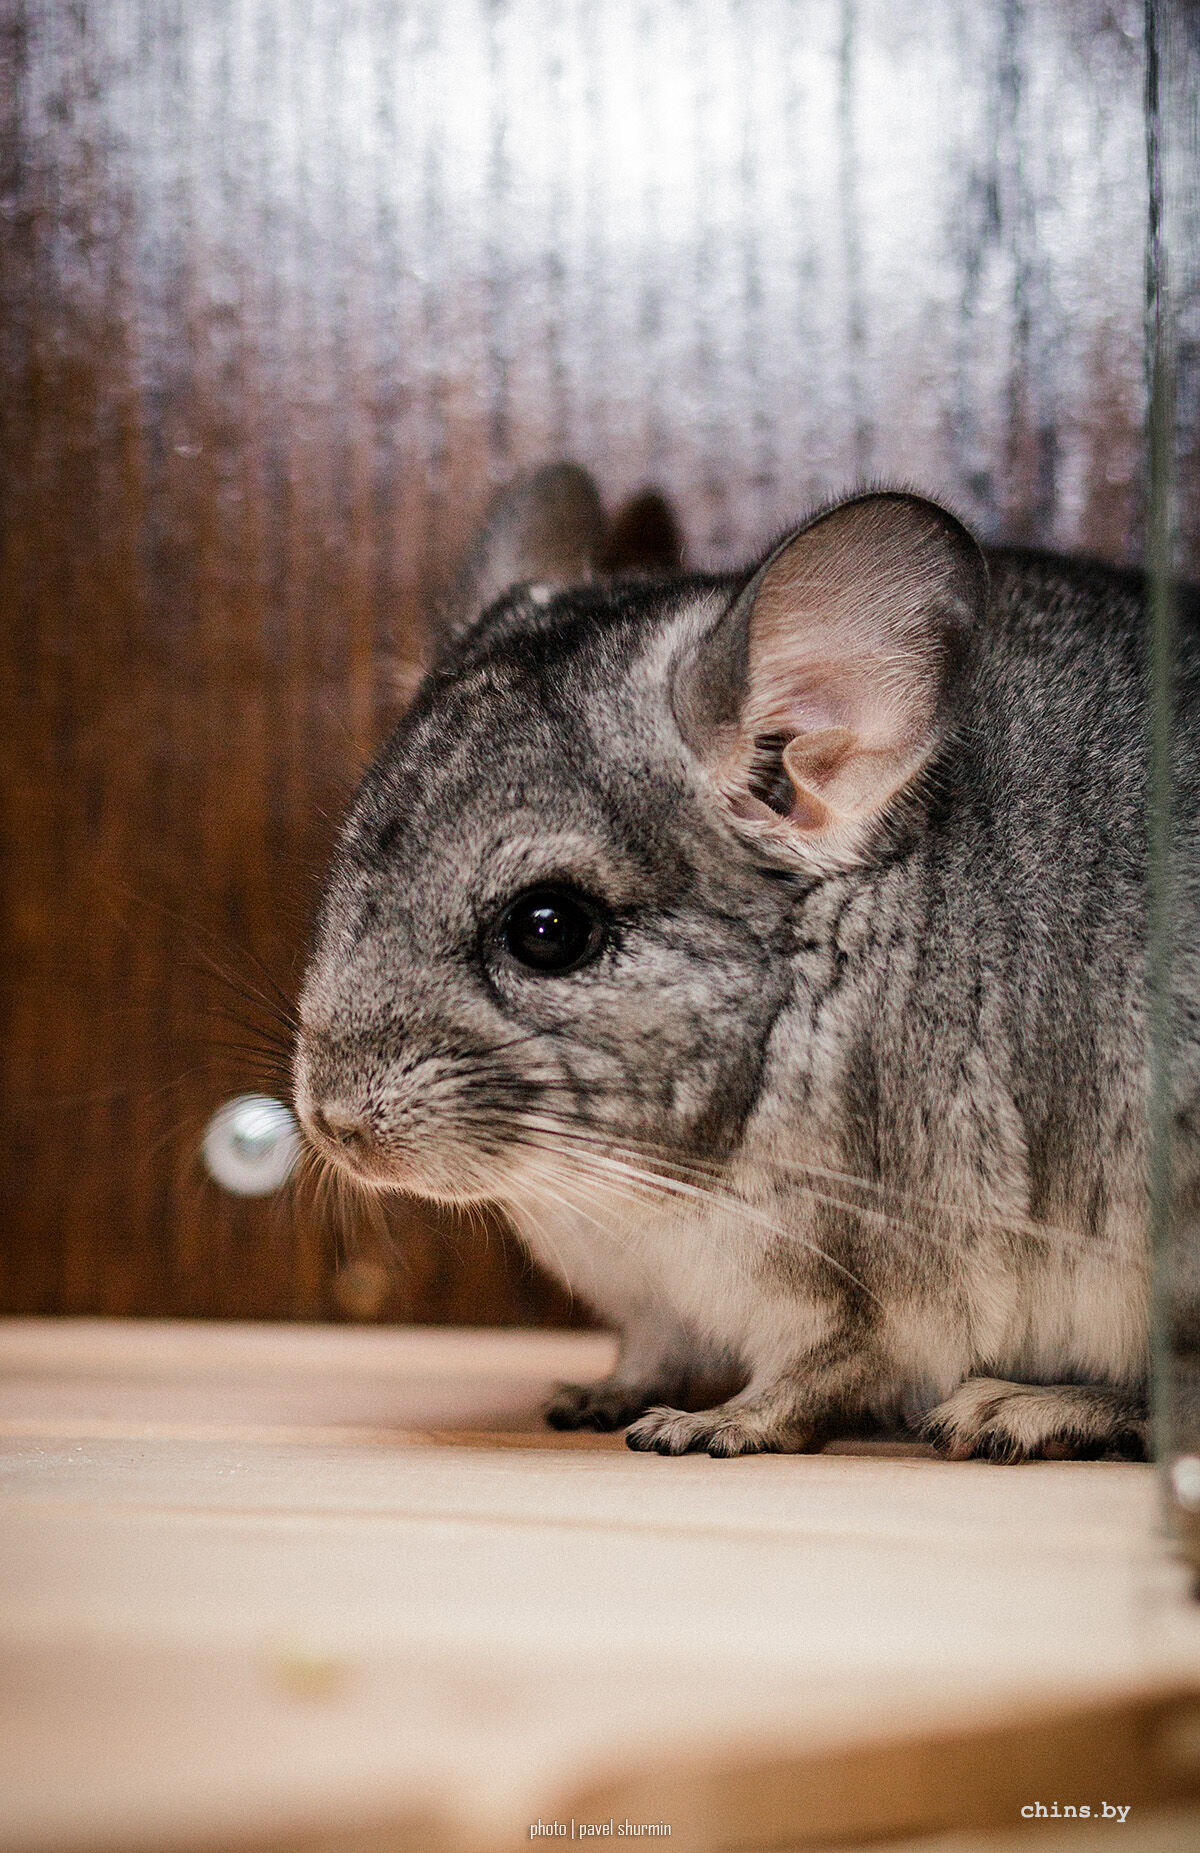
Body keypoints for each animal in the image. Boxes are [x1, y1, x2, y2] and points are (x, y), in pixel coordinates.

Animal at [294, 462, 1200, 1461]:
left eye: (548, 928)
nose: (333, 1123)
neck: (623, 1192)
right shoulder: (658, 1304)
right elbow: (650, 1352)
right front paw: (595, 1397)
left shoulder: (881, 1282)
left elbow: (818, 1373)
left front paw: (705, 1426)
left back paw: (1019, 1409)